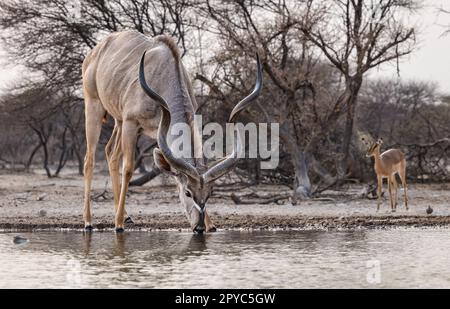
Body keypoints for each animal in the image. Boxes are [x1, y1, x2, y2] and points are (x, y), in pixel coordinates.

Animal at [82, 31, 262, 233]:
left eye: (209, 194)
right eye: (187, 192)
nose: (199, 227)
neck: (164, 74)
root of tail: (94, 52)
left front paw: (211, 225)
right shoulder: (131, 122)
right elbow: (128, 168)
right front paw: (118, 224)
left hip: (118, 122)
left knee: (110, 153)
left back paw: (126, 216)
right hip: (95, 107)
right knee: (89, 159)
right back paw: (89, 221)